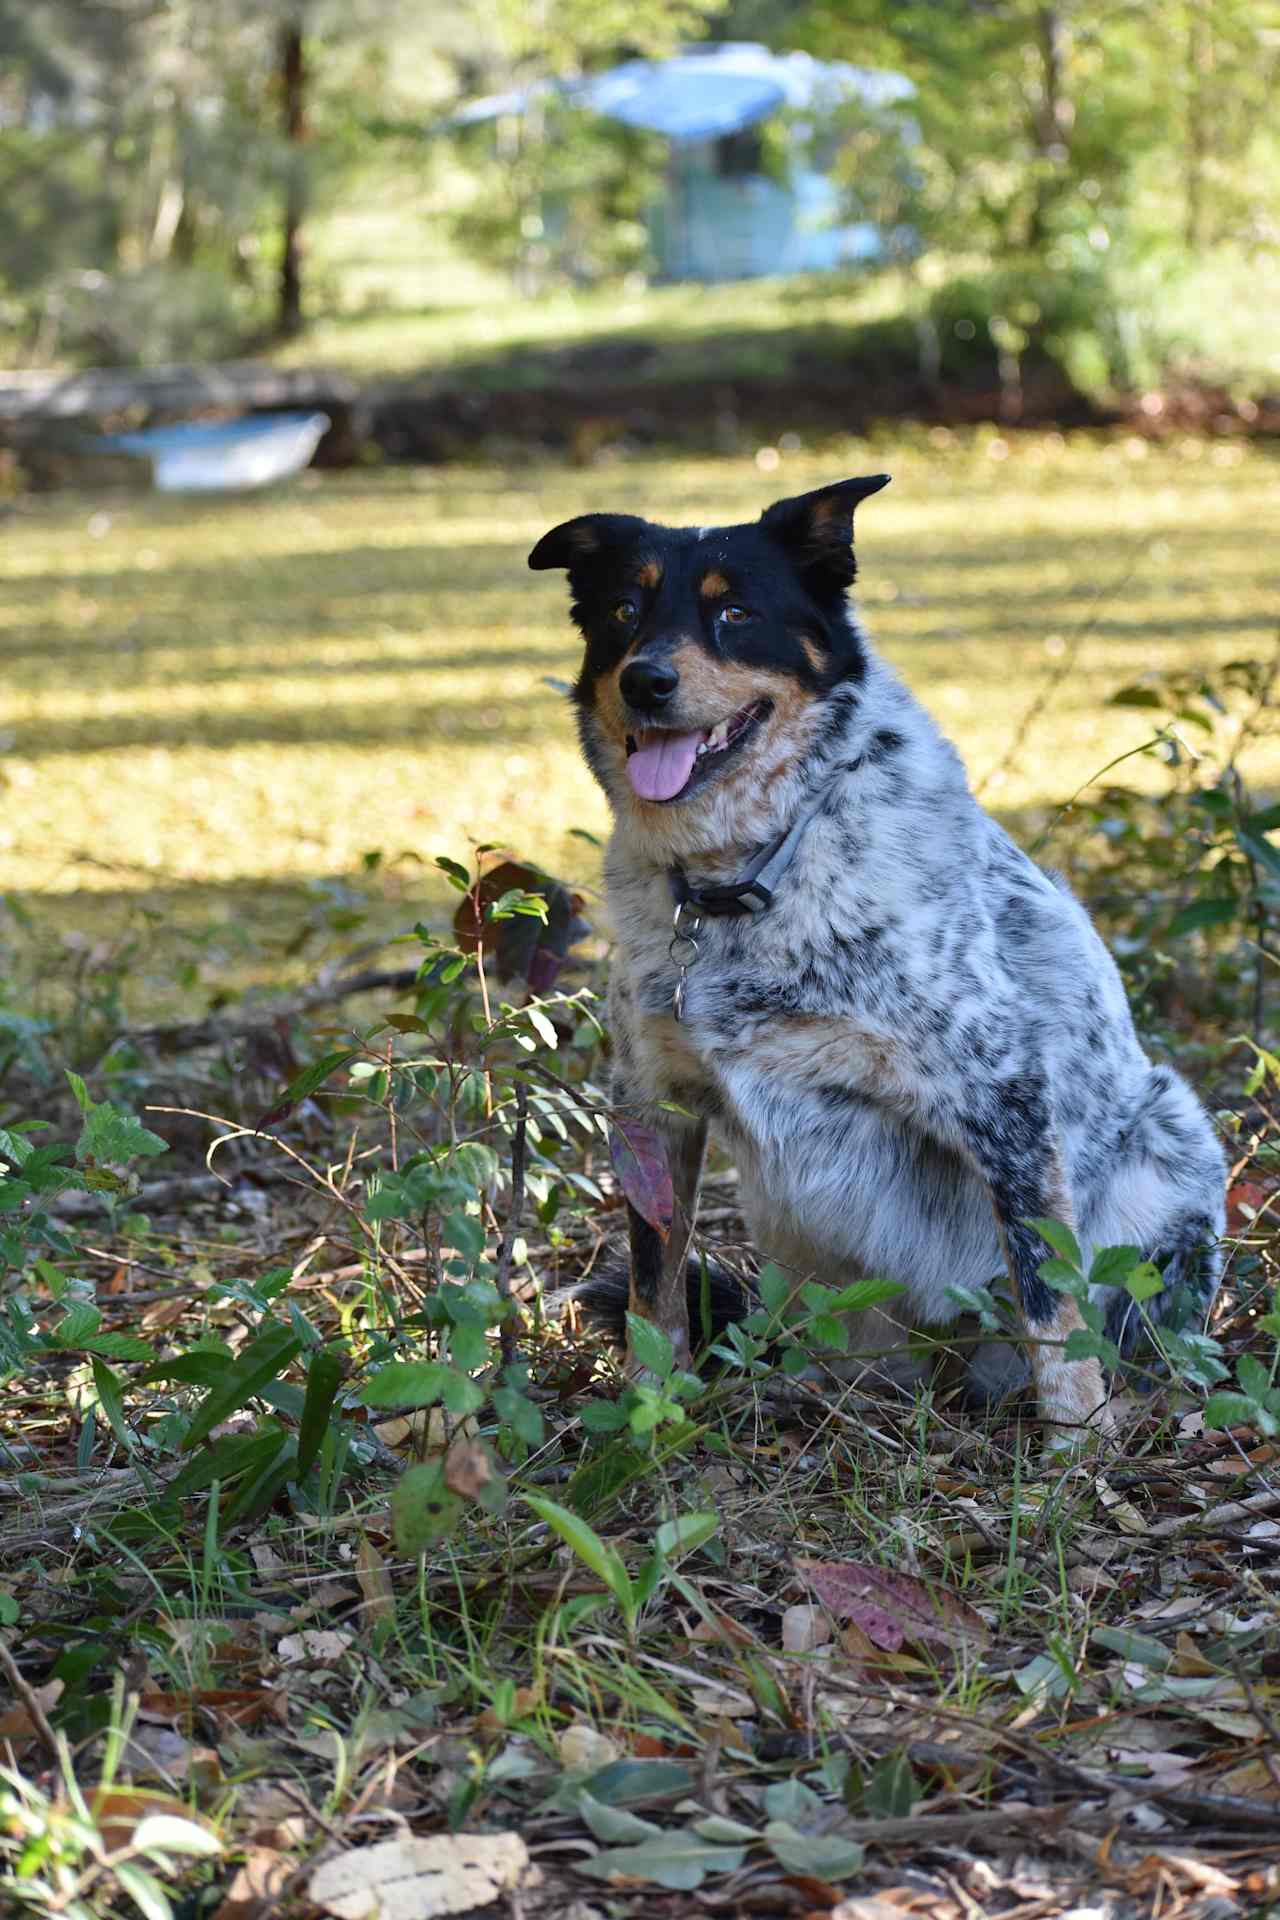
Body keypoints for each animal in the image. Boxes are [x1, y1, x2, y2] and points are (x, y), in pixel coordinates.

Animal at [525, 476, 1228, 1443]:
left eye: (735, 613)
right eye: (624, 612)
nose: (645, 681)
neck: (748, 872)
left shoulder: (1001, 1093)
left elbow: (1049, 1294)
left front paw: (1078, 1442)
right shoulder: (651, 1104)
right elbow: (652, 1285)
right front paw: (649, 1412)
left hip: (1171, 1136)